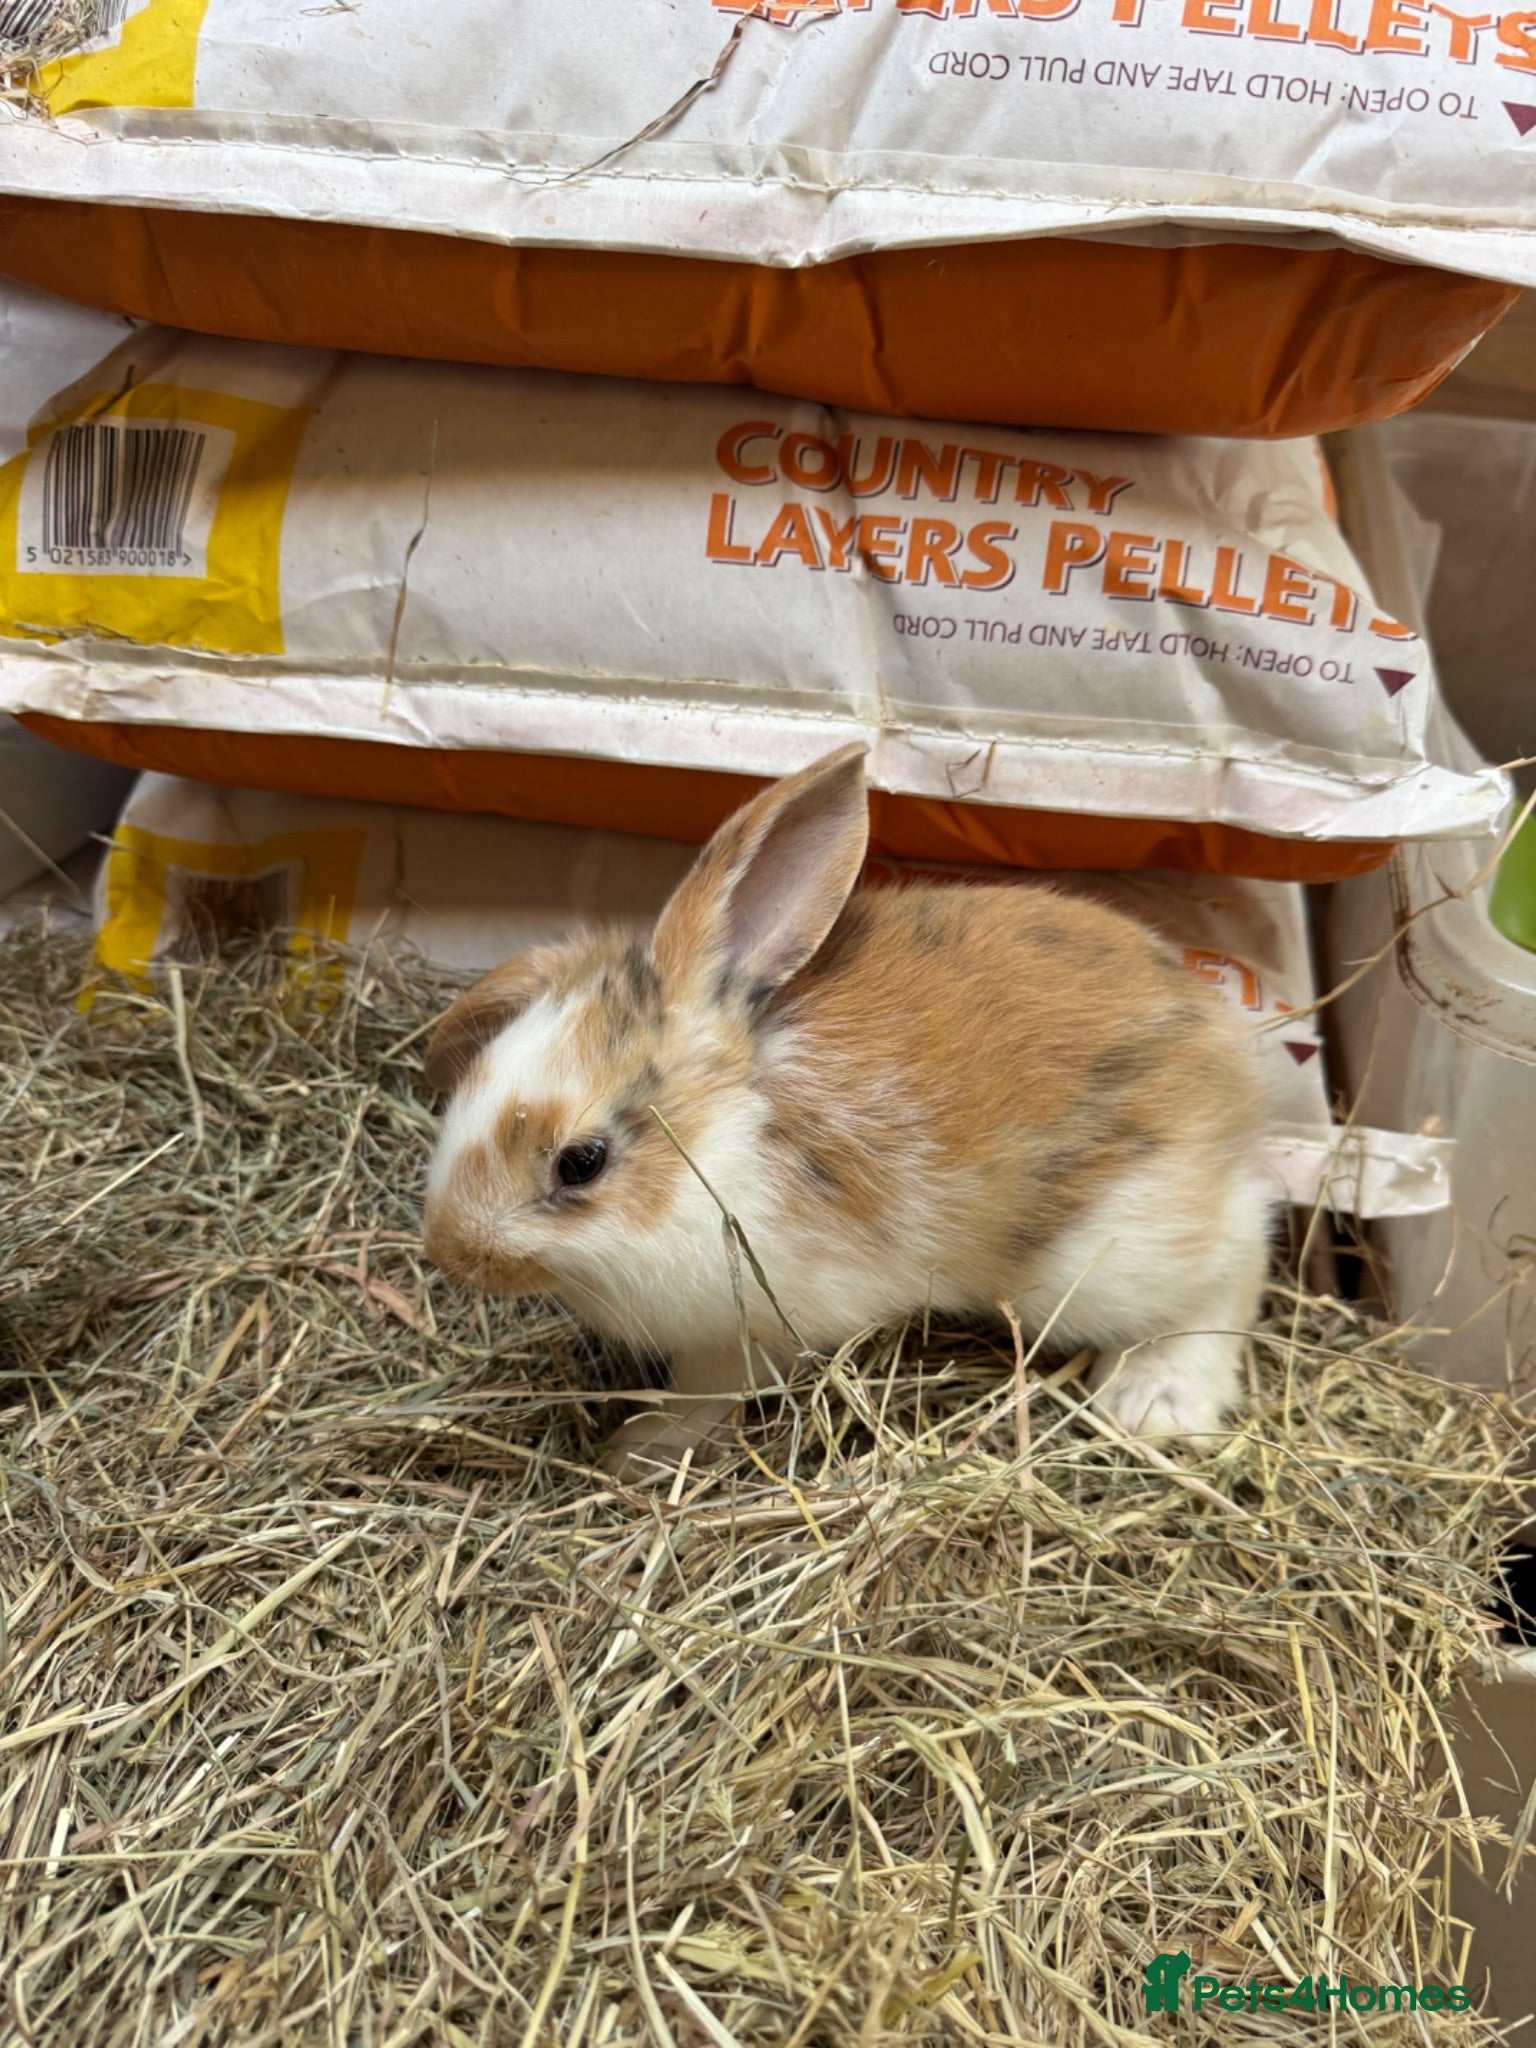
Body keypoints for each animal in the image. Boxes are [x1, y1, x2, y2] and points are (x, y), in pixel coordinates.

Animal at [422, 745, 1274, 1481]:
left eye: (582, 1162)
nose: (450, 1250)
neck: (723, 1137)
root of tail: (1229, 1067)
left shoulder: (739, 1333)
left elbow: (704, 1395)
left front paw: (637, 1451)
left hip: (1113, 1254)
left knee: (1235, 1266)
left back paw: (1156, 1401)